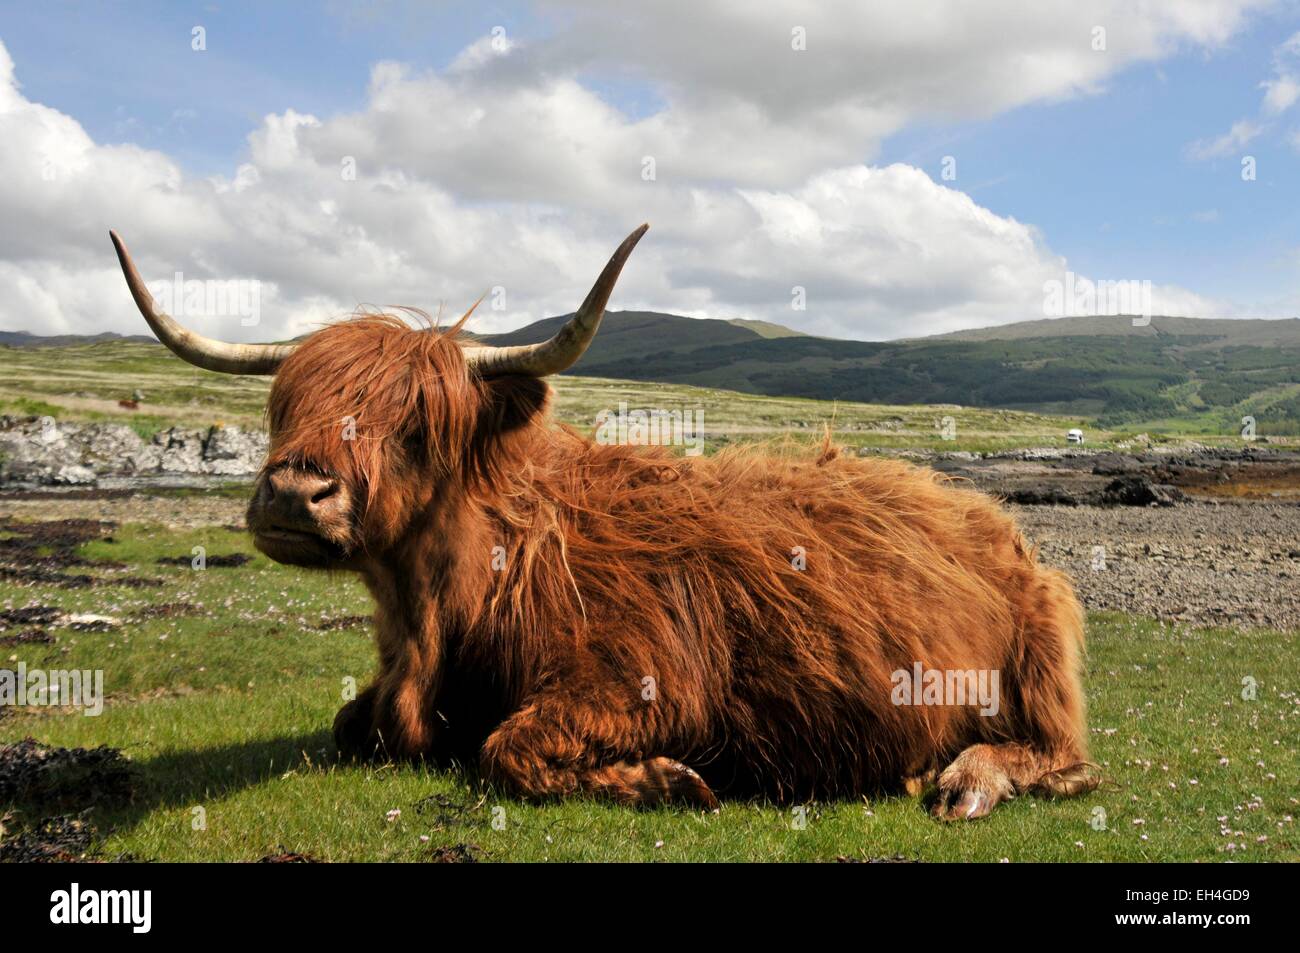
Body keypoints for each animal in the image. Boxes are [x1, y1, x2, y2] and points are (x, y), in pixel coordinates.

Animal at [109, 226, 1098, 819]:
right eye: (286, 405)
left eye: (419, 423)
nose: (292, 491)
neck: (440, 604)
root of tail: (982, 513)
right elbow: (355, 725)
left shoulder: (645, 673)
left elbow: (508, 746)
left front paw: (669, 780)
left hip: (1044, 647)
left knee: (1069, 757)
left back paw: (964, 778)